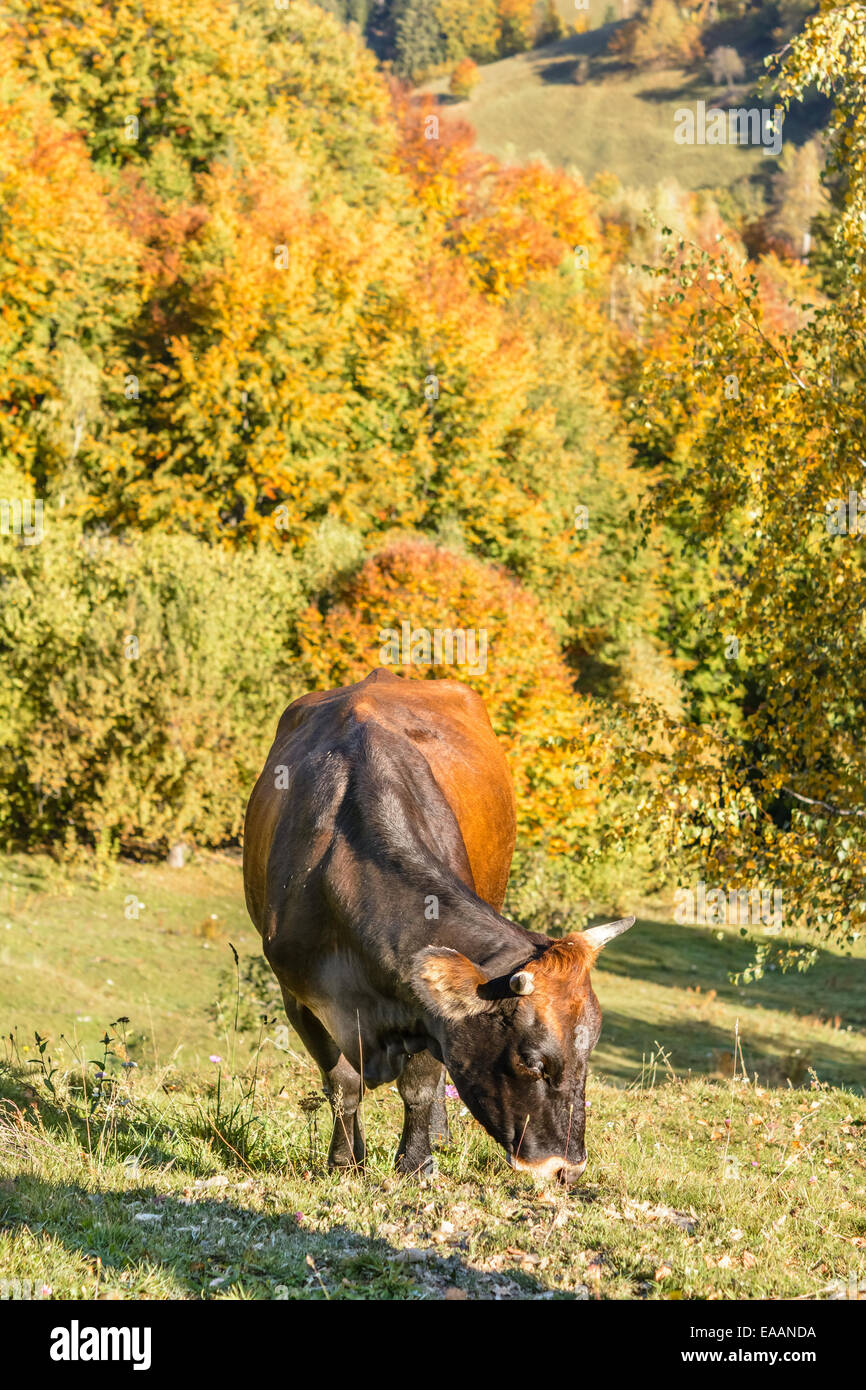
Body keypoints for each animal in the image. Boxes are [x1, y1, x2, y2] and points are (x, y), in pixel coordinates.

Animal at [244, 669, 636, 1184]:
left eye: (589, 1054)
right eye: (532, 1063)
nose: (566, 1169)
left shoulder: (427, 1008)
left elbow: (421, 1084)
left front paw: (416, 1161)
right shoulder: (299, 997)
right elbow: (342, 1084)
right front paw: (345, 1160)